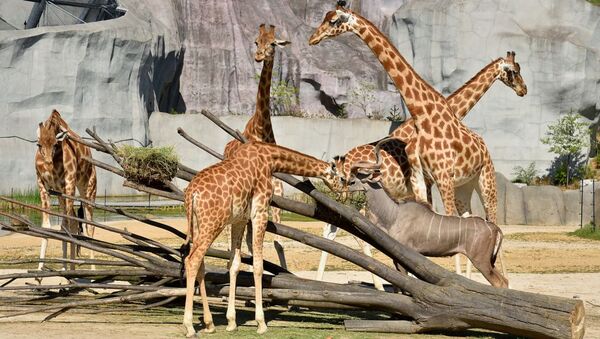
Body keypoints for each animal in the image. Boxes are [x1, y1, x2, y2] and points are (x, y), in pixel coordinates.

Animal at [35, 110, 96, 272]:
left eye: (56, 144)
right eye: (38, 144)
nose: (48, 163)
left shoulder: (69, 184)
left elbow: (67, 224)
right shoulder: (43, 185)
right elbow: (49, 226)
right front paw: (39, 272)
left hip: (88, 188)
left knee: (88, 225)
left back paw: (92, 269)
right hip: (61, 193)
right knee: (72, 222)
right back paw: (71, 267)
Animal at [224, 23, 292, 268]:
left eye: (273, 43)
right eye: (256, 41)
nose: (259, 55)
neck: (261, 128)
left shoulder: (276, 190)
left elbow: (278, 242)